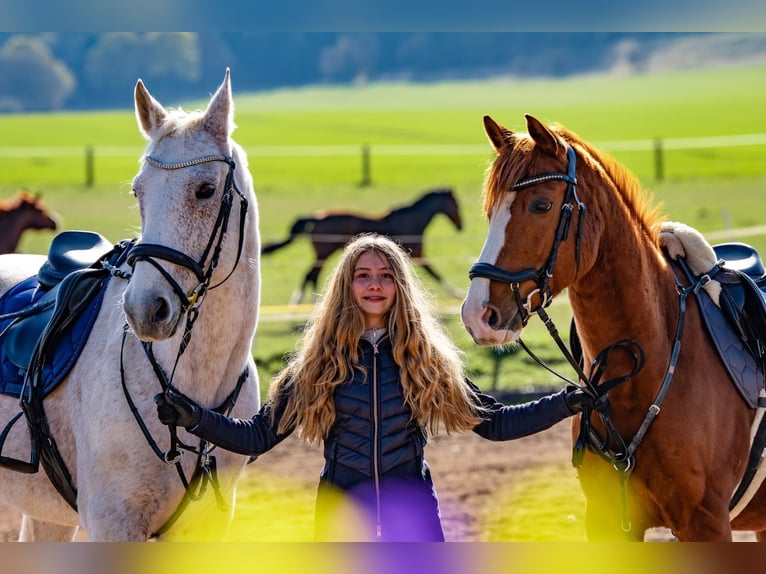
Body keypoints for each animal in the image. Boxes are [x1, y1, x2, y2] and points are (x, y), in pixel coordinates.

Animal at [262, 187, 464, 303]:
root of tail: (317, 216)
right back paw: (301, 301)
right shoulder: (418, 255)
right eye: (456, 204)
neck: (412, 221)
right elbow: (435, 273)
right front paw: (457, 293)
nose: (461, 226)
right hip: (323, 253)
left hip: (322, 254)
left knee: (311, 274)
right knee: (310, 274)